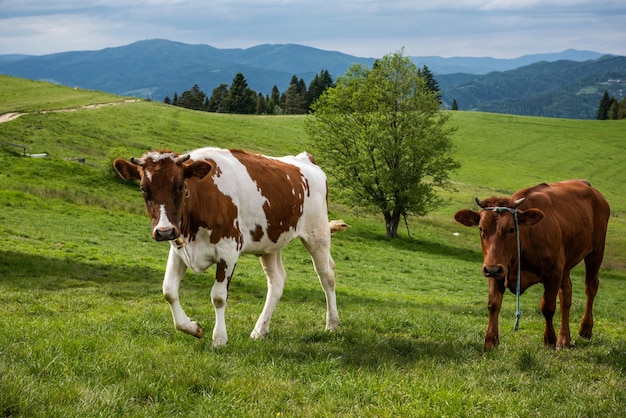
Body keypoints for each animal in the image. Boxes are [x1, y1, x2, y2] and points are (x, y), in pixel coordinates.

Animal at [454, 180, 608, 350]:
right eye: (481, 229)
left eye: (511, 229)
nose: (492, 269)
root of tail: (586, 184)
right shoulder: (497, 270)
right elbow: (493, 303)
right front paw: (490, 341)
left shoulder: (553, 272)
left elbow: (548, 307)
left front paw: (549, 340)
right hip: (565, 263)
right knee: (566, 294)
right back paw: (564, 339)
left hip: (596, 251)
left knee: (591, 287)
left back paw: (585, 329)